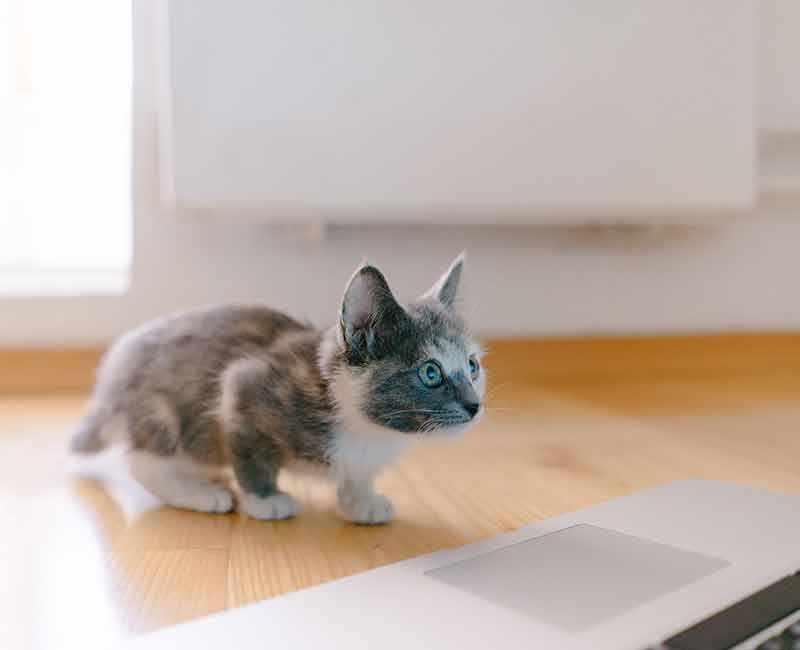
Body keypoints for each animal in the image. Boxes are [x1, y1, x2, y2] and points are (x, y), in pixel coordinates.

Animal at [72, 252, 484, 520]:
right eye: (430, 373)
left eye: (472, 366)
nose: (474, 405)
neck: (366, 429)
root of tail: (110, 379)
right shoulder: (245, 387)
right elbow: (252, 454)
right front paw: (264, 500)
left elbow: (358, 473)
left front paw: (361, 500)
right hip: (164, 412)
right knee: (140, 461)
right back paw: (200, 492)